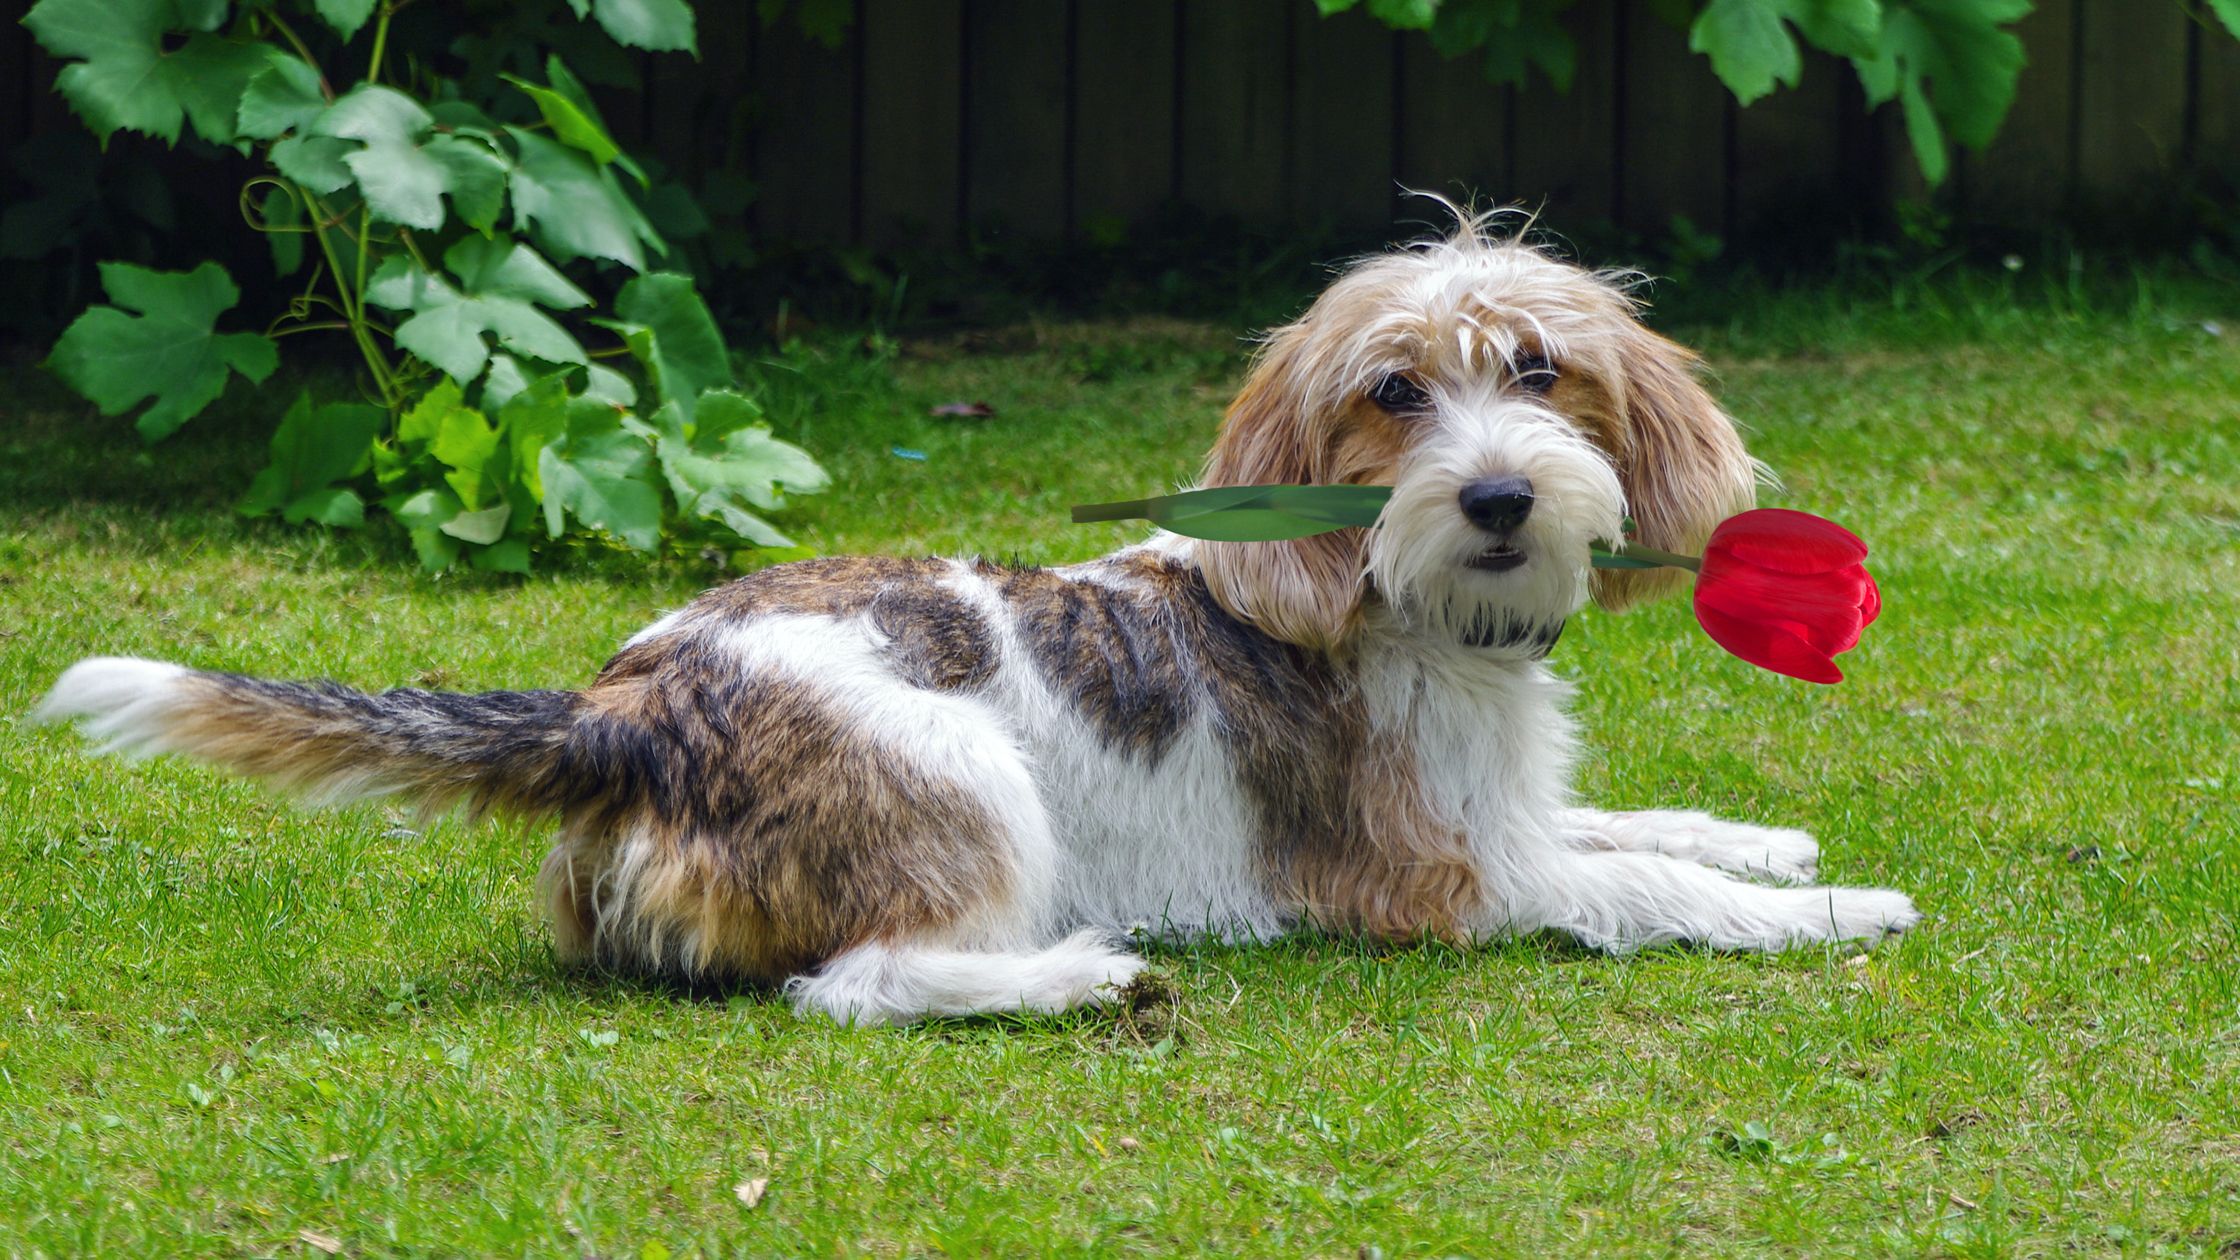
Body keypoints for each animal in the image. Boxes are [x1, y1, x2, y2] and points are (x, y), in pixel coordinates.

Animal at [35, 215, 1917, 1022]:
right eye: (1394, 394)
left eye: (1539, 371)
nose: (1502, 501)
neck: (1396, 607)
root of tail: (618, 712)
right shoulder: (1454, 881)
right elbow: (1641, 888)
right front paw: (1832, 915)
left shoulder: (1506, 815)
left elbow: (1648, 825)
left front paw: (1783, 848)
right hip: (969, 783)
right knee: (859, 987)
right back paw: (1084, 975)